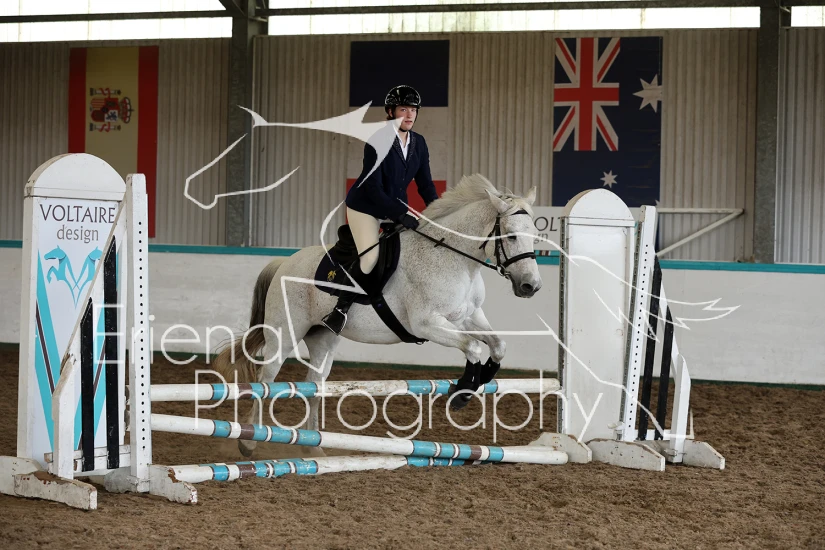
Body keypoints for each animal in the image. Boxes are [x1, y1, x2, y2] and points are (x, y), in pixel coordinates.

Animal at [213, 174, 542, 458]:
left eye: (536, 236)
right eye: (511, 236)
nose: (531, 286)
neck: (453, 259)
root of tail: (284, 263)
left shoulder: (469, 317)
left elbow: (498, 345)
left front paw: (482, 378)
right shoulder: (427, 324)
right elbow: (472, 346)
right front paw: (462, 392)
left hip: (323, 339)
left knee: (315, 383)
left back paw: (313, 448)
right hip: (284, 334)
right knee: (266, 379)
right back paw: (249, 443)